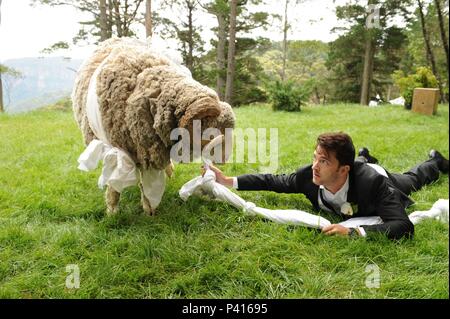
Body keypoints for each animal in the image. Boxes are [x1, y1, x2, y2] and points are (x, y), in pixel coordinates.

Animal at [72, 38, 236, 218]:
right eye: (210, 134)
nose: (224, 160)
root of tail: (116, 39)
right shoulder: (121, 153)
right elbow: (116, 185)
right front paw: (112, 211)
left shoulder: (150, 154)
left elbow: (148, 185)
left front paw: (149, 209)